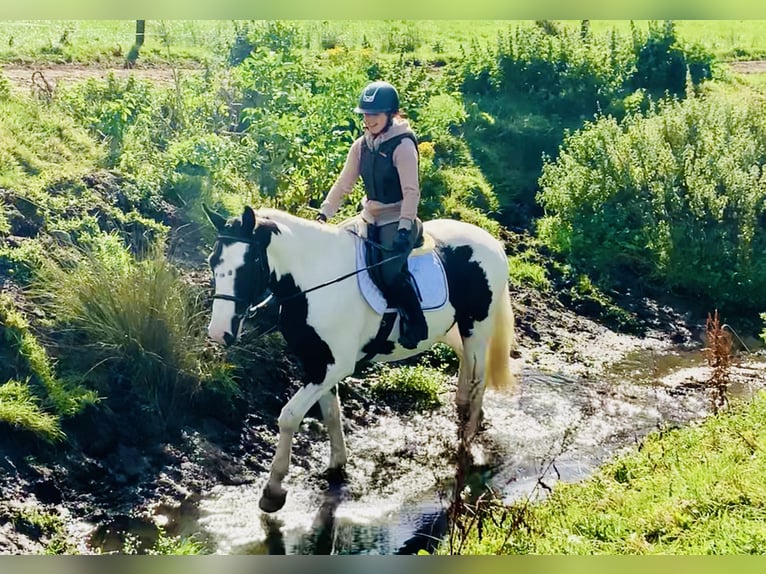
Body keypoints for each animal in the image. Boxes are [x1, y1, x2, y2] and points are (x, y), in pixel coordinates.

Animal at [204, 206, 520, 512]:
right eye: (213, 262)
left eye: (246, 267)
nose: (219, 333)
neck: (315, 281)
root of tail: (491, 240)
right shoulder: (316, 363)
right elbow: (331, 413)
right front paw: (337, 466)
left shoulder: (333, 366)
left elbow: (289, 416)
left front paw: (273, 491)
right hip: (453, 330)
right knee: (468, 372)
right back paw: (470, 416)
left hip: (476, 327)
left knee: (478, 379)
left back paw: (467, 440)